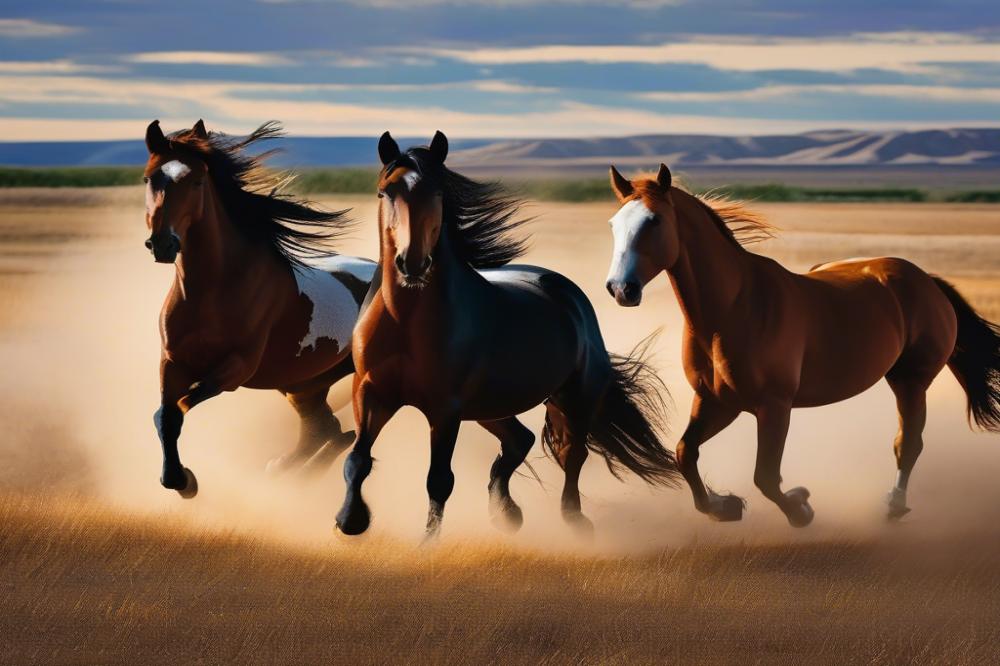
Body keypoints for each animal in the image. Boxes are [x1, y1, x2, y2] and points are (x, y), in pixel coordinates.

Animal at [142, 119, 376, 498]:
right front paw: (177, 480)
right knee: (326, 430)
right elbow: (166, 415)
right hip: (303, 384)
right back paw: (284, 469)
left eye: (197, 181)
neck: (212, 291)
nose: (163, 244)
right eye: (149, 178)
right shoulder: (172, 362)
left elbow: (180, 406)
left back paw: (290, 472)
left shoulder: (234, 369)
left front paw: (184, 480)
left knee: (341, 433)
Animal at [332, 131, 681, 540]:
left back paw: (573, 520)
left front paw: (426, 542)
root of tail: (568, 293)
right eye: (384, 192)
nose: (412, 263)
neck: (405, 321)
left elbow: (439, 480)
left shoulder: (445, 409)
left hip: (572, 398)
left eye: (438, 193)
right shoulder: (370, 390)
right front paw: (349, 521)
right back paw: (506, 513)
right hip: (489, 405)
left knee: (572, 455)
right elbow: (357, 459)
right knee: (520, 439)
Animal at [602, 164, 1000, 526]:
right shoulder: (716, 402)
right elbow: (685, 453)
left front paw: (800, 508)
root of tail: (927, 281)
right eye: (613, 224)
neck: (733, 309)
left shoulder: (774, 406)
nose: (621, 289)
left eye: (653, 221)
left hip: (912, 380)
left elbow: (765, 476)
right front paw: (723, 506)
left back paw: (894, 506)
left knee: (908, 443)